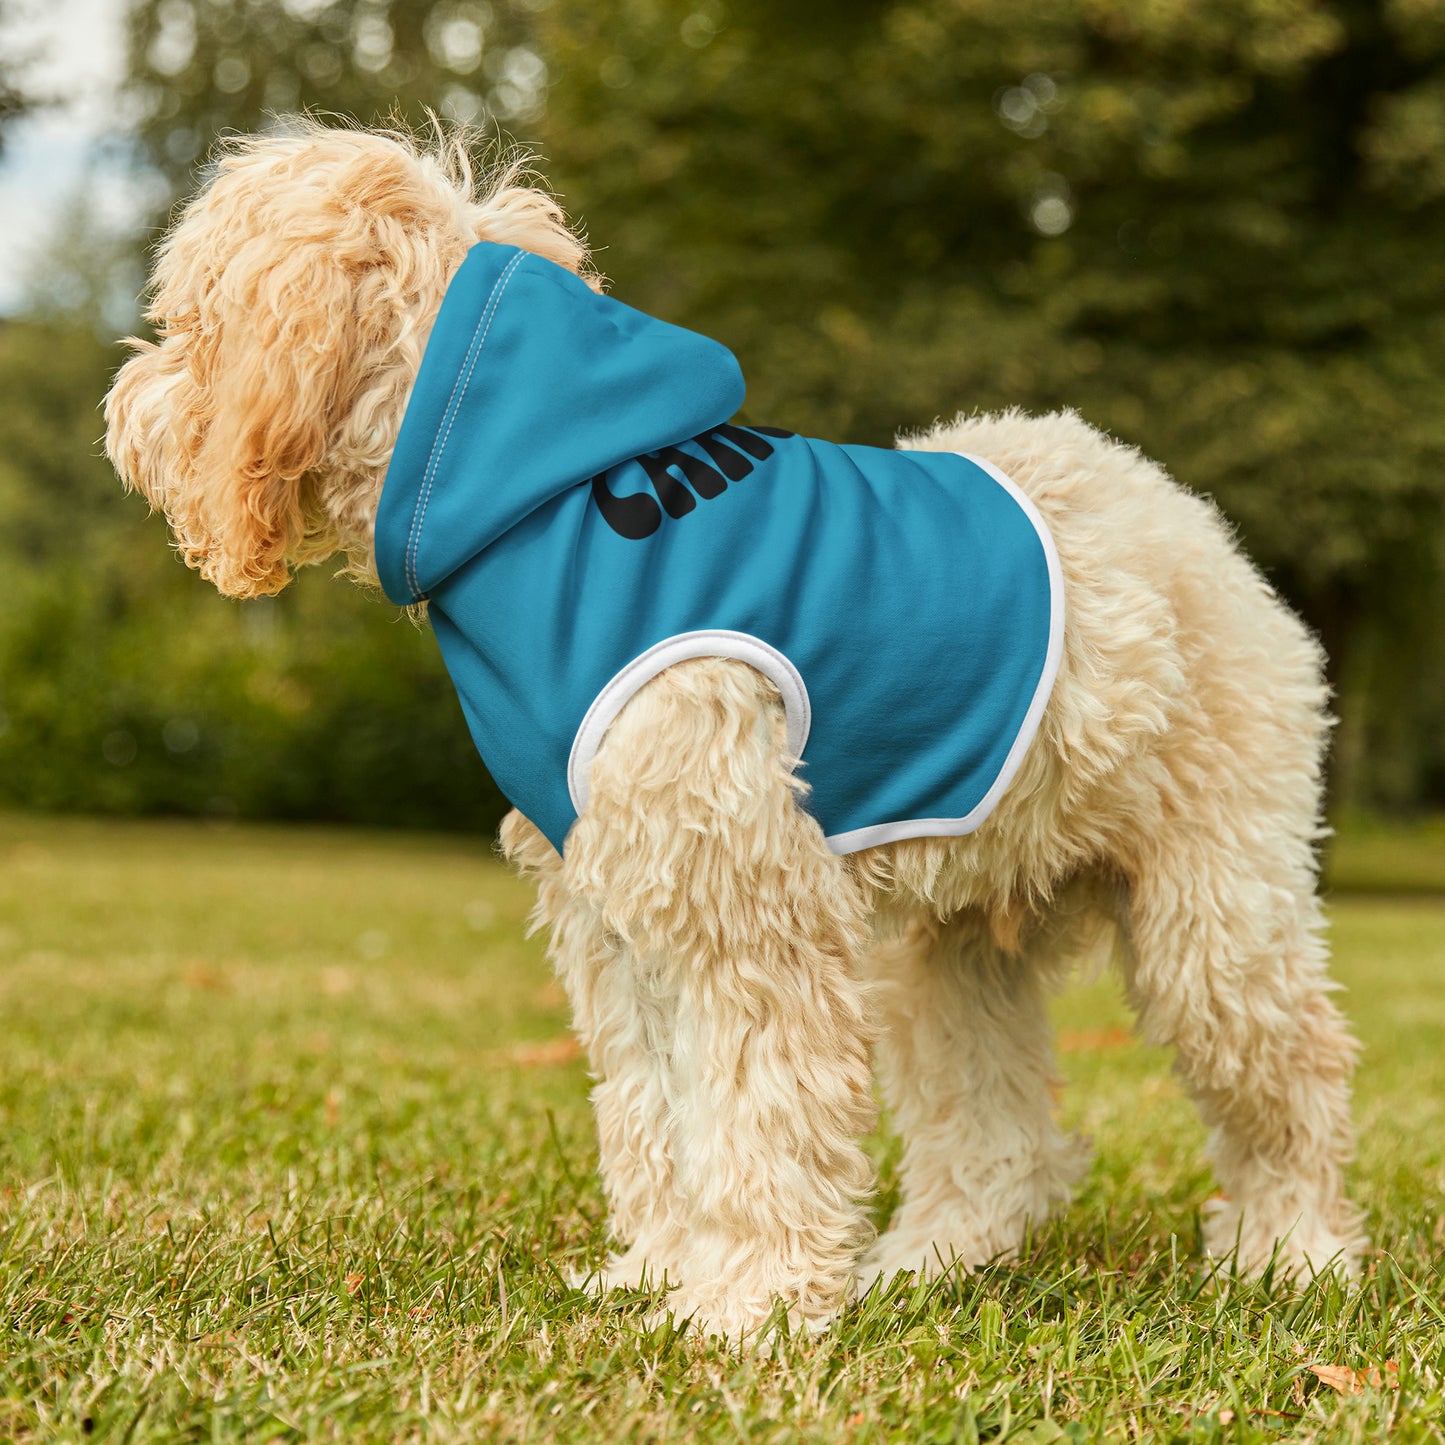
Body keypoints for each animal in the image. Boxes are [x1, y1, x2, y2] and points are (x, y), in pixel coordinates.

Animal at [104, 124, 1364, 1340]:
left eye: (190, 319)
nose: (123, 407)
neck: (538, 502)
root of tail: (1185, 518)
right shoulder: (618, 909)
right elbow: (656, 1111)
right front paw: (662, 1273)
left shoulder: (743, 905)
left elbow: (758, 1113)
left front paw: (747, 1304)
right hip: (950, 948)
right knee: (995, 1132)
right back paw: (929, 1259)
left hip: (1212, 915)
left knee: (1293, 1075)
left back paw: (1290, 1252)